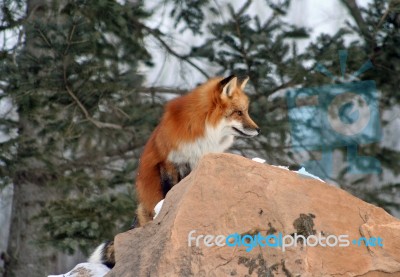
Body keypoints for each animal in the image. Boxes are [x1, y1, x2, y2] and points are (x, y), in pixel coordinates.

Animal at [87, 74, 260, 266]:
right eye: (239, 112)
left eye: (246, 111)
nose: (258, 129)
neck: (201, 130)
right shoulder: (170, 162)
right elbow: (169, 191)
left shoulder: (199, 163)